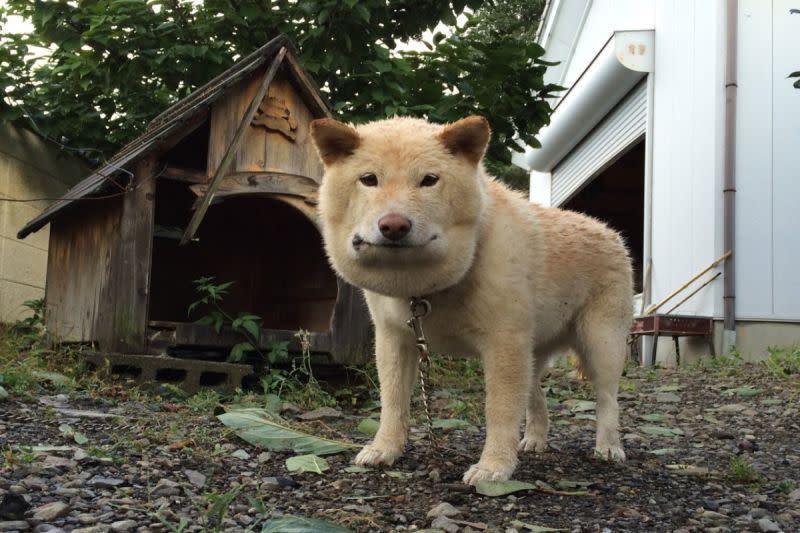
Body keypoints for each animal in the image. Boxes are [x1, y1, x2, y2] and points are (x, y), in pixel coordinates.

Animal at [310, 115, 632, 482]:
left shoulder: (504, 343)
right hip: (533, 352)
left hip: (601, 344)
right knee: (536, 398)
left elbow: (500, 410)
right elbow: (392, 402)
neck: (425, 288)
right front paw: (385, 449)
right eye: (368, 179)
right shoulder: (394, 339)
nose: (393, 225)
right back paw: (535, 440)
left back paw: (608, 447)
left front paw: (494, 467)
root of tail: (611, 233)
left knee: (607, 399)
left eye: (429, 180)